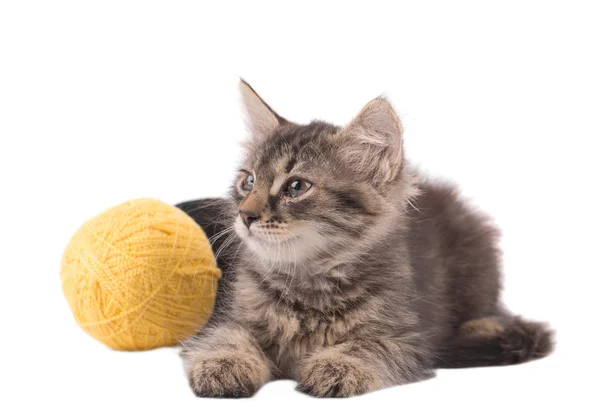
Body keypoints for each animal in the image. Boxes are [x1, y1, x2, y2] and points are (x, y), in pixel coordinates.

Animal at [178, 81, 552, 400]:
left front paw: (336, 366)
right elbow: (226, 337)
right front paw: (223, 364)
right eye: (248, 181)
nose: (245, 215)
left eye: (296, 187)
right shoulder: (227, 316)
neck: (308, 279)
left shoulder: (407, 338)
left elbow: (369, 346)